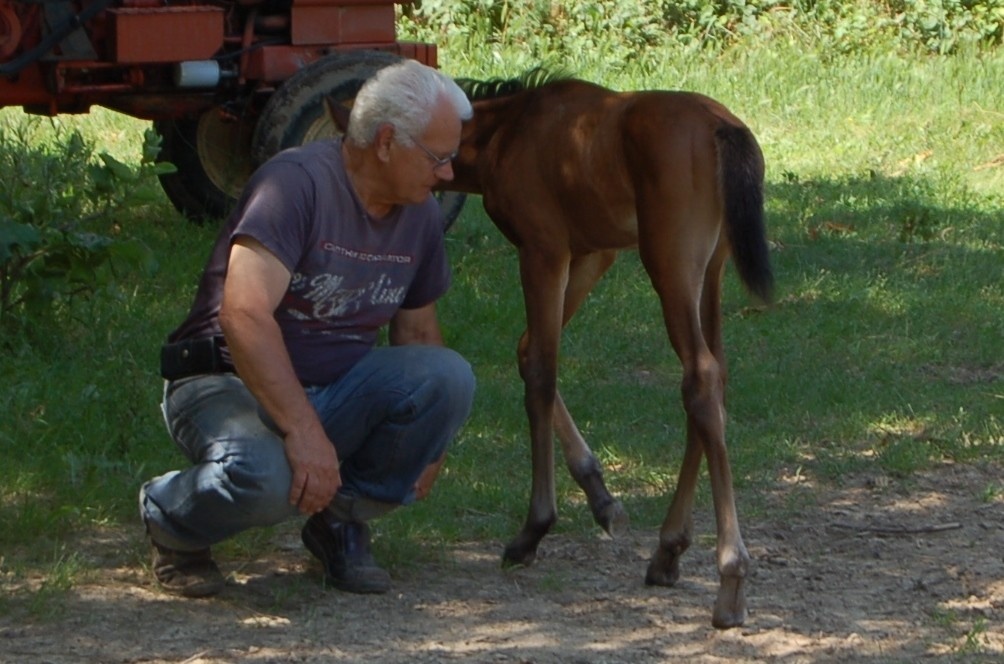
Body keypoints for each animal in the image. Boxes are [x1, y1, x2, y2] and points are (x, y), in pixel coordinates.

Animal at [329, 68, 773, 629]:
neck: (506, 135)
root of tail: (722, 128)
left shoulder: (542, 249)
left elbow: (541, 369)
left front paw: (534, 529)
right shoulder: (593, 252)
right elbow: (527, 352)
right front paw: (600, 497)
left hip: (671, 263)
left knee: (700, 378)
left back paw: (729, 577)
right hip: (711, 268)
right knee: (715, 379)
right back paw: (667, 551)